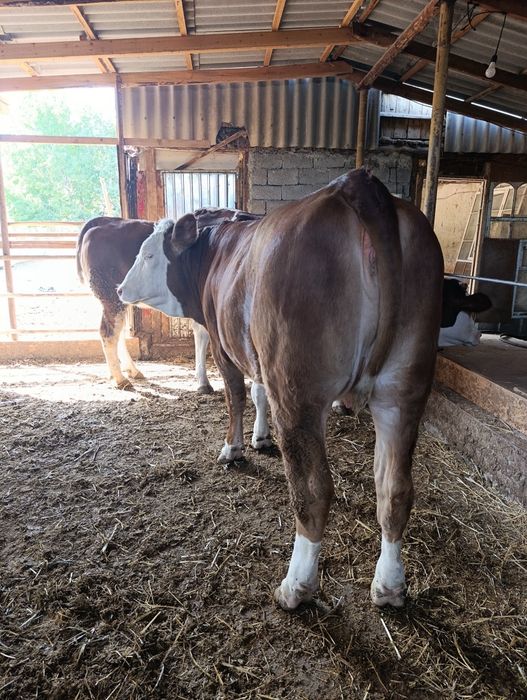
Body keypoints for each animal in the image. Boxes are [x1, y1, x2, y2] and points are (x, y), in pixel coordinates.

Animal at [77, 212, 253, 392]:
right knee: (108, 333)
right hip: (110, 297)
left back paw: (131, 370)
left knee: (118, 332)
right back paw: (120, 378)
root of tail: (104, 221)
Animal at [118, 169, 444, 612]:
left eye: (149, 255)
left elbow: (237, 396)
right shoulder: (258, 353)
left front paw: (234, 448)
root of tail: (357, 183)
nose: (120, 289)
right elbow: (258, 393)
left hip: (298, 388)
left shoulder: (224, 343)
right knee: (395, 488)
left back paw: (296, 586)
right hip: (405, 389)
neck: (216, 250)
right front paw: (260, 438)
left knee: (313, 492)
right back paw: (389, 586)